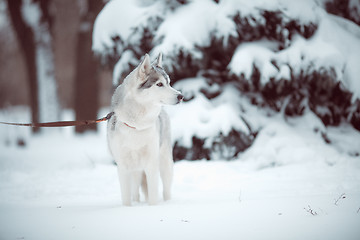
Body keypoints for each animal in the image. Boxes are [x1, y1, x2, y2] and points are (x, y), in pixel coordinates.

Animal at [105, 53, 181, 206]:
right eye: (159, 84)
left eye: (169, 83)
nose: (181, 96)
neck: (136, 126)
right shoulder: (123, 167)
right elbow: (126, 198)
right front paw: (127, 208)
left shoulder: (151, 164)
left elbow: (153, 196)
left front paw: (151, 208)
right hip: (135, 170)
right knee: (135, 191)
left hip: (165, 163)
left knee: (166, 190)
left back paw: (168, 203)